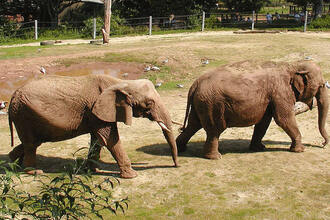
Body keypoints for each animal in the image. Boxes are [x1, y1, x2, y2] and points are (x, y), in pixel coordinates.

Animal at [7, 75, 178, 178]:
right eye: (149, 103)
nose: (176, 166)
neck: (122, 82)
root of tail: (12, 96)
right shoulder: (97, 110)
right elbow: (110, 139)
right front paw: (131, 176)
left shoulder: (96, 113)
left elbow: (97, 140)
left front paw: (92, 170)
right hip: (24, 115)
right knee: (31, 144)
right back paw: (33, 171)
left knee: (31, 143)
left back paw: (13, 163)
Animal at [175, 61, 328, 159]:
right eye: (321, 85)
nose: (323, 144)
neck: (292, 66)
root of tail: (194, 84)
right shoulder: (280, 92)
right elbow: (283, 119)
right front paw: (300, 150)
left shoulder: (269, 98)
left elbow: (264, 122)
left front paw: (259, 148)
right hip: (212, 105)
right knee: (214, 130)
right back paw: (215, 157)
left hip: (201, 104)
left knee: (193, 125)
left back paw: (179, 149)